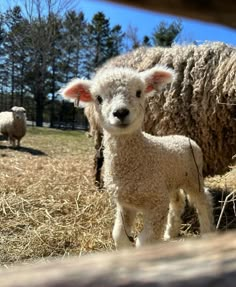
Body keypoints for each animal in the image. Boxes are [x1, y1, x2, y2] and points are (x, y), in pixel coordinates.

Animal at [61, 64, 215, 248]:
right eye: (98, 98)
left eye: (139, 92)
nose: (120, 112)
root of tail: (183, 137)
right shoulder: (125, 204)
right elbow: (118, 235)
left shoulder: (157, 203)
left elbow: (144, 241)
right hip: (170, 180)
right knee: (178, 201)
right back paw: (170, 234)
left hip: (193, 176)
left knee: (203, 200)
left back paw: (207, 233)